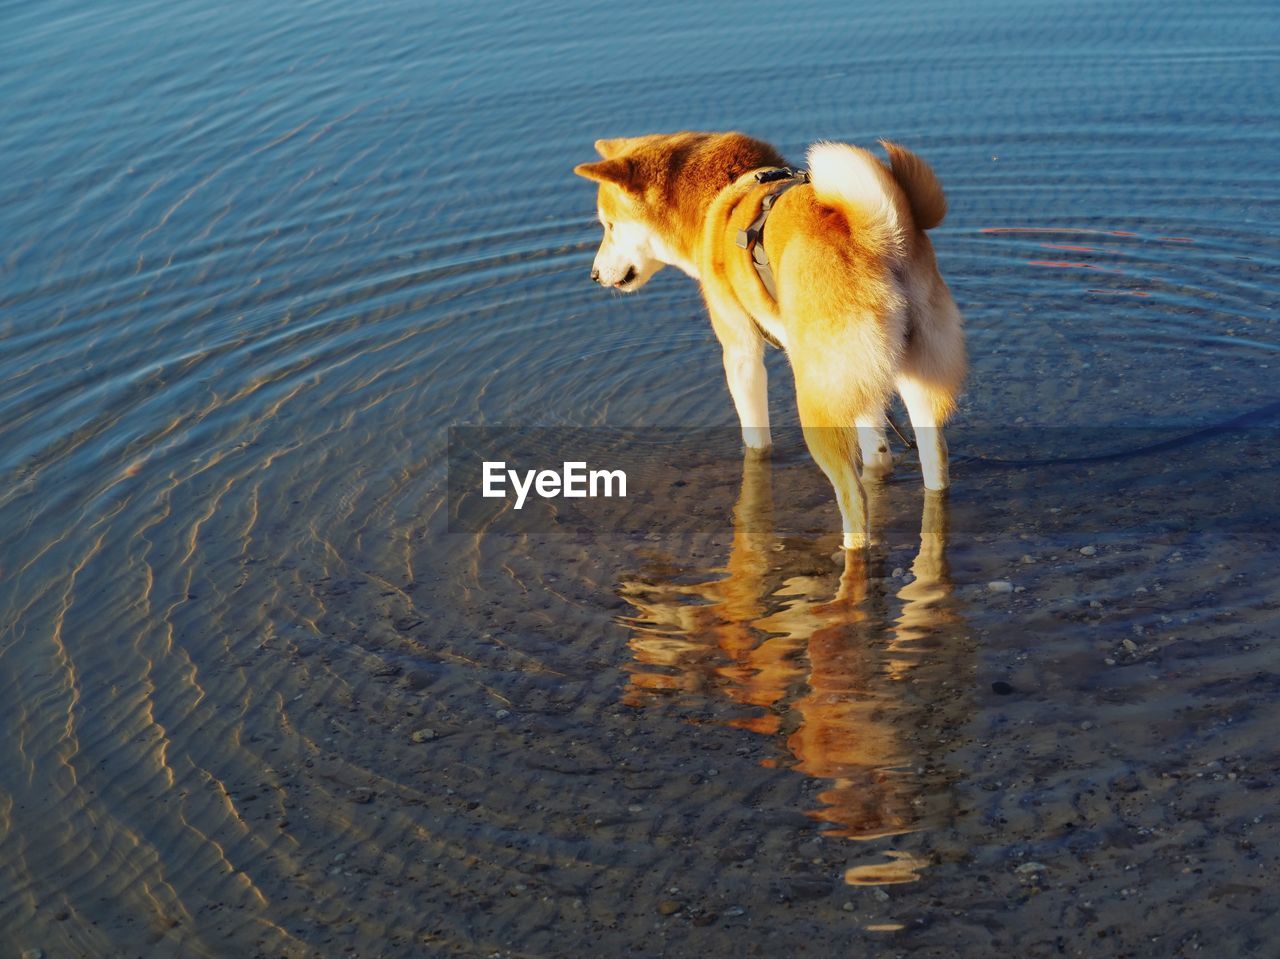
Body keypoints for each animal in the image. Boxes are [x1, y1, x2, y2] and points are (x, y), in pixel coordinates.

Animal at [576, 131, 962, 545]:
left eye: (610, 225)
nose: (594, 275)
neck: (723, 193)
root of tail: (876, 237)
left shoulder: (741, 352)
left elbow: (755, 437)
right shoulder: (861, 387)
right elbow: (876, 447)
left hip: (817, 405)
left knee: (854, 501)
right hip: (911, 388)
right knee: (935, 471)